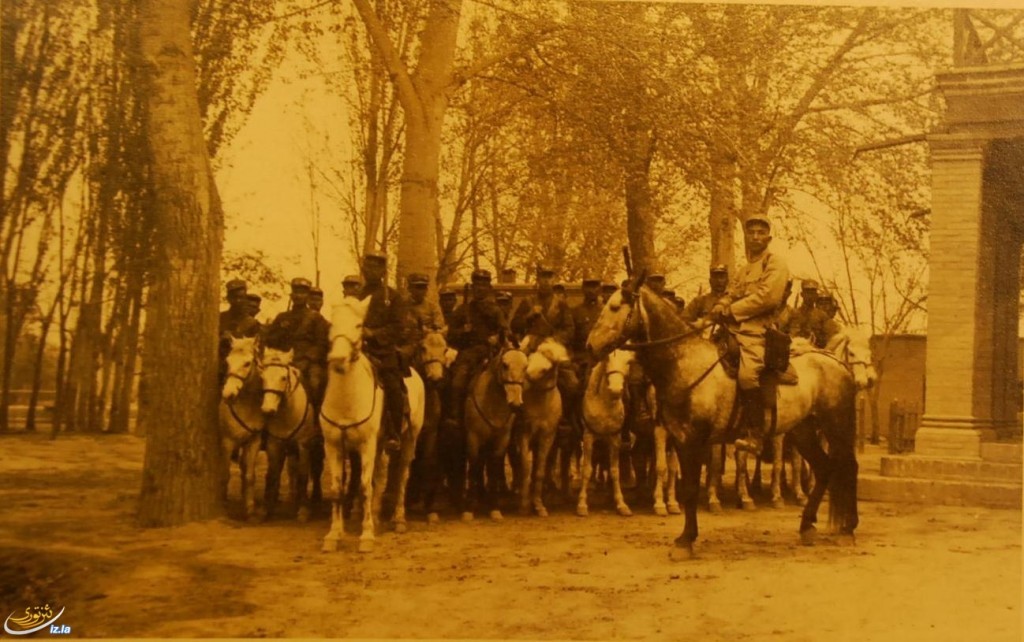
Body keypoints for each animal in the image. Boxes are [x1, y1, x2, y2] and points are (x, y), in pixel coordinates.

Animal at [219, 335, 266, 522]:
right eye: (228, 361)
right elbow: (225, 474)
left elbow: (249, 475)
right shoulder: (227, 442)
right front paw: (224, 504)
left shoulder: (253, 442)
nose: (228, 394)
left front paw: (250, 508)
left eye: (247, 363)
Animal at [319, 298, 423, 557]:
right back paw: (374, 515)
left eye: (358, 325)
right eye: (332, 324)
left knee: (401, 475)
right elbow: (337, 489)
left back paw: (398, 519)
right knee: (380, 475)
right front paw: (334, 534)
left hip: (408, 440)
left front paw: (366, 536)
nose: (338, 358)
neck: (347, 399)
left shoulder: (367, 445)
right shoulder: (334, 445)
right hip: (379, 445)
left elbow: (365, 486)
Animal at [589, 286, 860, 557]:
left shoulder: (694, 440)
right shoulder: (679, 438)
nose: (590, 345)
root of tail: (836, 362)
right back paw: (807, 527)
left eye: (615, 307)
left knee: (849, 467)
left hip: (837, 426)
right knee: (824, 468)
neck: (686, 363)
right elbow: (685, 485)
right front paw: (685, 537)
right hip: (803, 430)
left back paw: (848, 528)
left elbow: (690, 488)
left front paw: (686, 540)